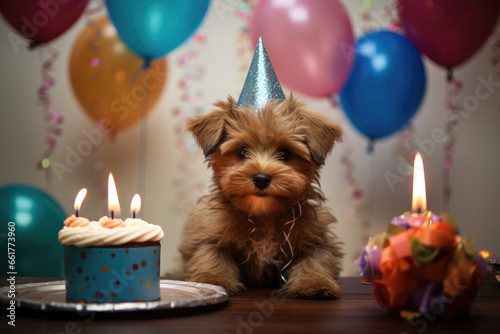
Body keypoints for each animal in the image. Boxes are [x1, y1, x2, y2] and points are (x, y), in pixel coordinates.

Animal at [181, 94, 344, 300]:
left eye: (285, 153)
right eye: (242, 150)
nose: (261, 178)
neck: (264, 213)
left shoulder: (316, 238)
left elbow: (315, 260)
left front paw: (315, 282)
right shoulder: (209, 234)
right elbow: (211, 256)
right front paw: (213, 279)